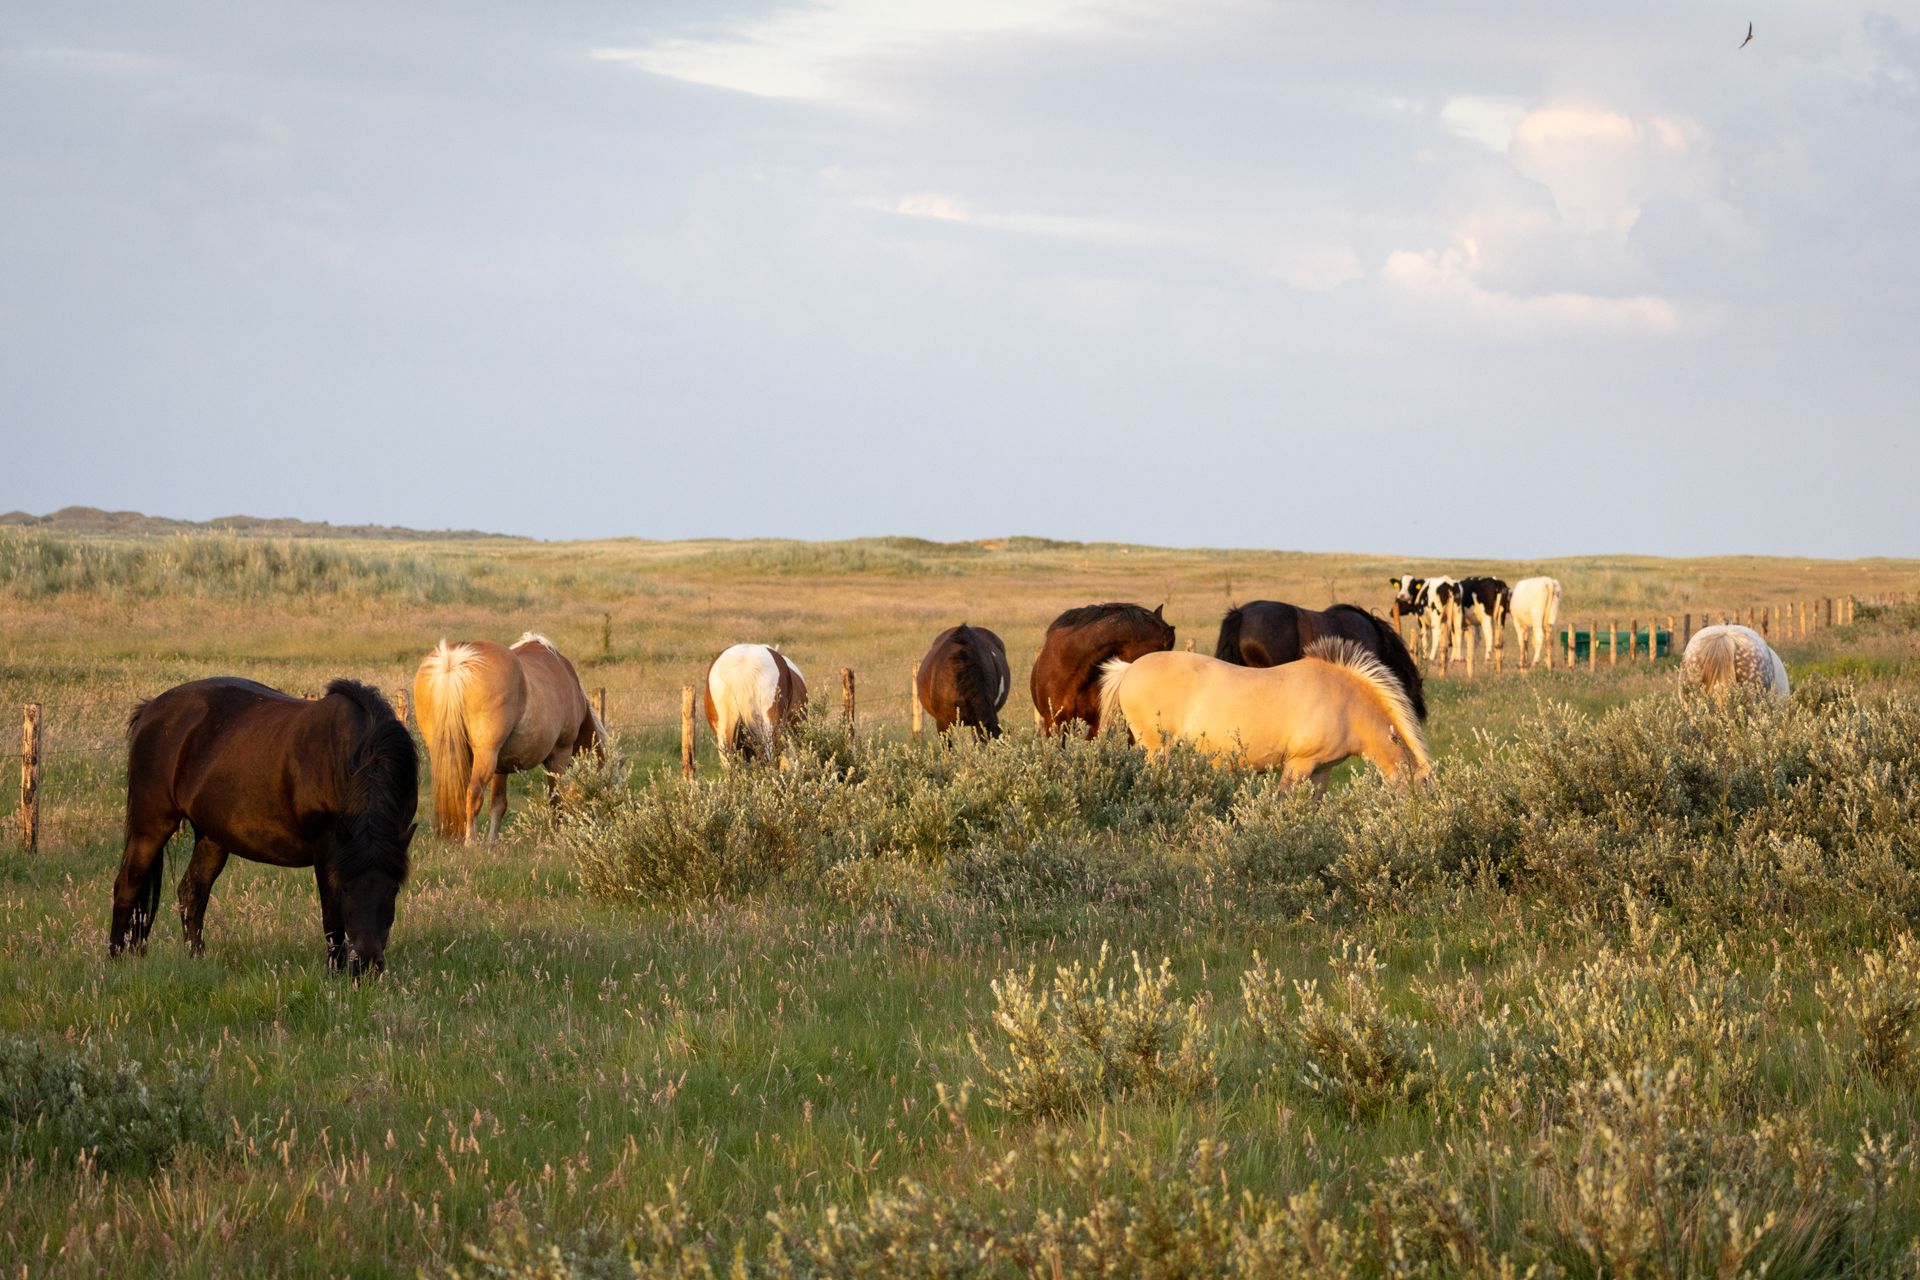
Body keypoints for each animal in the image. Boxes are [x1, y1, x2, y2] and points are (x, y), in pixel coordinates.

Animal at [110, 678, 417, 976]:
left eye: (393, 889)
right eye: (346, 889)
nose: (367, 965)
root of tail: (150, 710)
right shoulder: (326, 851)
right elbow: (331, 918)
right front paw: (334, 974)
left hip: (212, 838)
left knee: (191, 893)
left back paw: (196, 960)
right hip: (150, 827)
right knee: (127, 886)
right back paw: (114, 960)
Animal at [413, 632, 604, 843]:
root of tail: (454, 661)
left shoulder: (501, 767)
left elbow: (498, 804)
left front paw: (493, 842)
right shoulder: (560, 755)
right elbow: (557, 800)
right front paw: (557, 839)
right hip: (485, 755)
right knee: (474, 793)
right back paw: (471, 842)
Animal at [1097, 642, 1432, 786]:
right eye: (1423, 789)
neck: (1345, 702)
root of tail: (1128, 669)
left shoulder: (1322, 770)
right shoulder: (1298, 765)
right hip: (1156, 748)